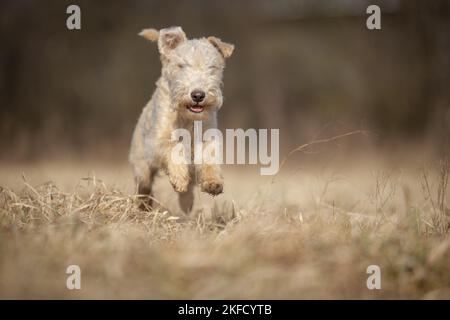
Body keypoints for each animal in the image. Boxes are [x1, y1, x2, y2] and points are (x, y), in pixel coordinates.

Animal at [128, 26, 234, 212]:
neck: (187, 118)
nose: (198, 95)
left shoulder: (207, 137)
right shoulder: (158, 140)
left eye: (212, 67)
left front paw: (213, 183)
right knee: (144, 185)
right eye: (181, 66)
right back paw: (144, 205)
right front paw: (179, 178)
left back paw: (186, 203)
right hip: (141, 163)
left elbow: (209, 159)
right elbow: (173, 149)